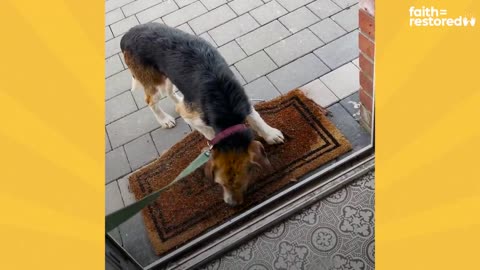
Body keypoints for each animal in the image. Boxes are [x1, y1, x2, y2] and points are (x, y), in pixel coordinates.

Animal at [121, 23, 284, 206]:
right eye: (219, 184)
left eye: (245, 182)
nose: (232, 204)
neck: (223, 103)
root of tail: (128, 34)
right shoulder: (193, 117)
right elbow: (209, 133)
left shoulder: (243, 101)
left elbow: (256, 119)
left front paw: (270, 134)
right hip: (153, 81)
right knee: (150, 100)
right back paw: (164, 119)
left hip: (167, 75)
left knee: (171, 94)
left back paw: (177, 100)